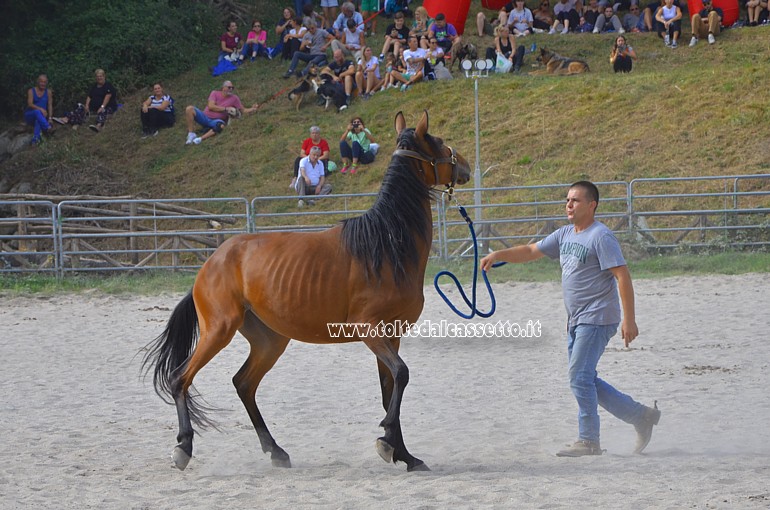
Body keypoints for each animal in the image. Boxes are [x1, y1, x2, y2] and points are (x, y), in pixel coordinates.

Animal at [141, 109, 472, 472]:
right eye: (438, 141)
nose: (465, 164)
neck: (384, 244)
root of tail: (211, 263)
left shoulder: (391, 335)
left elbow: (391, 387)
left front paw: (403, 453)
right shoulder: (369, 330)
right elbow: (401, 375)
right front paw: (389, 442)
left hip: (269, 340)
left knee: (243, 384)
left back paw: (276, 451)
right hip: (219, 331)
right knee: (180, 379)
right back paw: (184, 447)